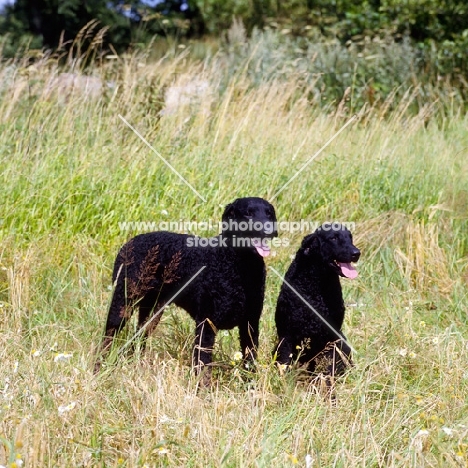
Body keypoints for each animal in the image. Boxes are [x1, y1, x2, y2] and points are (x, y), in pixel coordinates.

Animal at [96, 196, 278, 382]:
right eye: (248, 213)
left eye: (269, 213)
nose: (270, 231)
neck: (240, 268)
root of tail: (129, 243)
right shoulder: (206, 324)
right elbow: (203, 365)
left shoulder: (250, 324)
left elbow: (250, 361)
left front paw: (250, 385)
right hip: (122, 303)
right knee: (107, 338)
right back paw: (99, 368)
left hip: (152, 311)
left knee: (138, 338)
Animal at [274, 225, 358, 382]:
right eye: (333, 238)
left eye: (350, 237)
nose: (356, 253)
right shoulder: (287, 337)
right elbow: (285, 363)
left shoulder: (330, 338)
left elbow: (328, 368)